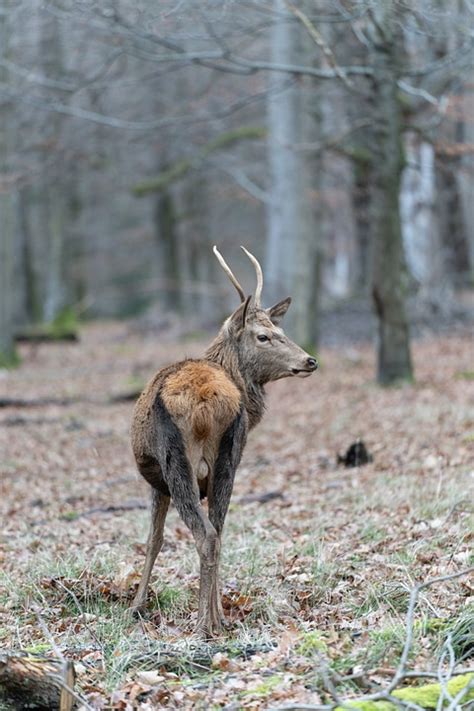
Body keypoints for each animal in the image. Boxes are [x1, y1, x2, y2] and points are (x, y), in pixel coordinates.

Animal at [130, 248, 318, 636]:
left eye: (279, 330)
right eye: (264, 336)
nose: (310, 360)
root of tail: (208, 401)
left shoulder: (156, 481)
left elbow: (154, 540)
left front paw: (137, 605)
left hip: (176, 461)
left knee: (204, 535)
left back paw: (202, 625)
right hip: (229, 458)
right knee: (217, 531)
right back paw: (215, 619)